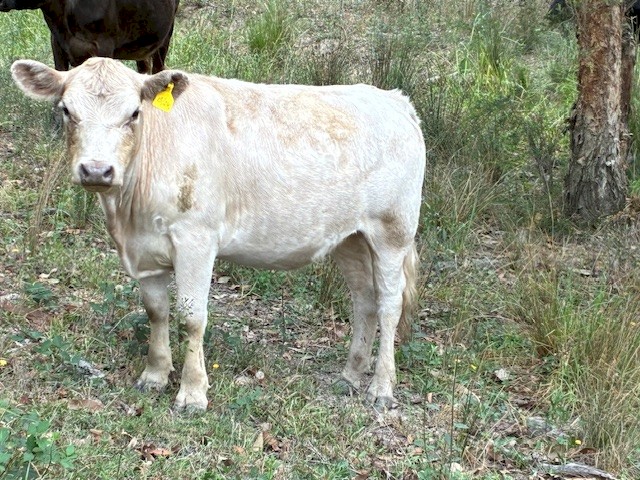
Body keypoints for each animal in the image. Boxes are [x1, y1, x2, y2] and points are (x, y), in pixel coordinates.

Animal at [11, 57, 426, 412]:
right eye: (66, 110)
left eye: (134, 113)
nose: (97, 170)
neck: (128, 213)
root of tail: (394, 99)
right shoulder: (145, 249)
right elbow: (156, 310)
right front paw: (154, 375)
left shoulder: (196, 238)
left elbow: (192, 317)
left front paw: (192, 393)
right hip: (350, 237)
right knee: (364, 300)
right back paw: (351, 375)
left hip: (393, 230)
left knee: (390, 304)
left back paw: (381, 388)